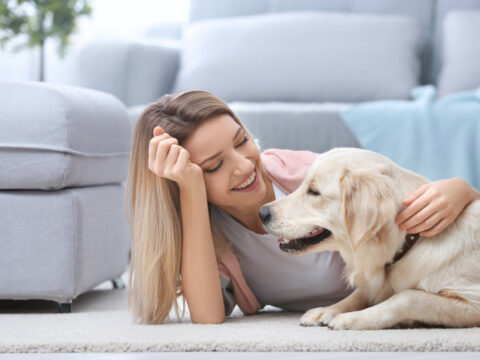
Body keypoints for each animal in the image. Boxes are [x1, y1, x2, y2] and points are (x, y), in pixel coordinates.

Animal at [260, 146, 478, 330]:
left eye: (314, 191)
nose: (261, 213)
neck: (410, 240)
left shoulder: (472, 300)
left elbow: (407, 297)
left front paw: (353, 318)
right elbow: (361, 293)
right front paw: (328, 309)